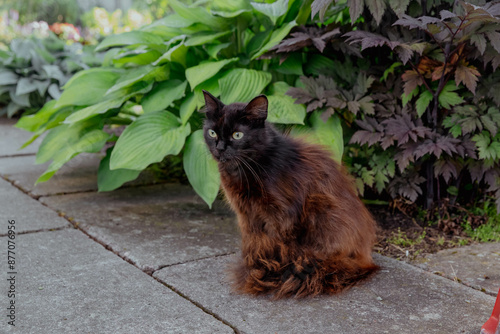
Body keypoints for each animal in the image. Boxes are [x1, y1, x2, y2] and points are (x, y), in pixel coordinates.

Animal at [201, 90, 376, 298]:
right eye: (212, 133)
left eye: (237, 135)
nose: (219, 148)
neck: (250, 166)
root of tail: (366, 259)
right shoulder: (246, 215)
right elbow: (251, 242)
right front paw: (254, 264)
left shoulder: (281, 215)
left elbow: (279, 243)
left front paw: (266, 268)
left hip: (319, 204)